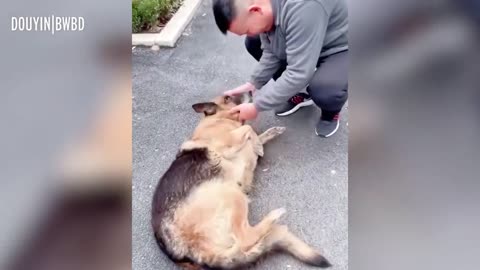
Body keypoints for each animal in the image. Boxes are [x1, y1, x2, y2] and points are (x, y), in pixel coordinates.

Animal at [152, 92, 332, 268]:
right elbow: (249, 128)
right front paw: (258, 145)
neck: (219, 119)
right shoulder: (228, 141)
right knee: (246, 239)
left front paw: (264, 138)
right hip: (230, 193)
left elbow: (254, 133)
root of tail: (194, 254)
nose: (251, 91)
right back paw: (274, 216)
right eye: (227, 97)